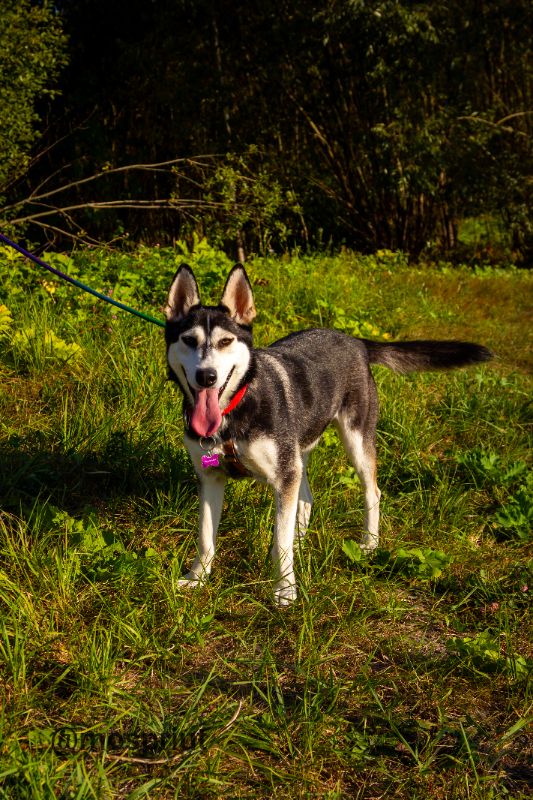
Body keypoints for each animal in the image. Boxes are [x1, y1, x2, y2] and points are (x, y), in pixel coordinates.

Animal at [164, 264, 492, 608]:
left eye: (226, 341)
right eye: (188, 339)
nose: (207, 376)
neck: (235, 409)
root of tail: (356, 341)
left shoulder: (284, 474)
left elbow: (280, 542)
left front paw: (285, 590)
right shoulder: (212, 477)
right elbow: (205, 537)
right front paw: (197, 578)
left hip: (356, 441)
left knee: (371, 492)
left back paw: (369, 544)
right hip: (300, 452)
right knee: (305, 500)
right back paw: (300, 543)